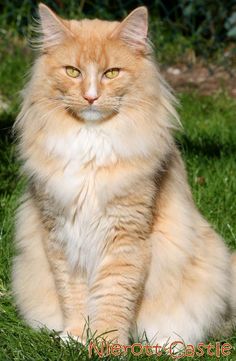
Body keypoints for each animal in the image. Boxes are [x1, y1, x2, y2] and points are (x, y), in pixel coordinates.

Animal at [12, 3, 236, 346]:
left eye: (111, 73)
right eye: (73, 72)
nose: (91, 97)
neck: (91, 144)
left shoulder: (125, 236)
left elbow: (113, 297)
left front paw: (106, 344)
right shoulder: (61, 233)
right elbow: (74, 295)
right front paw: (76, 337)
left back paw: (164, 346)